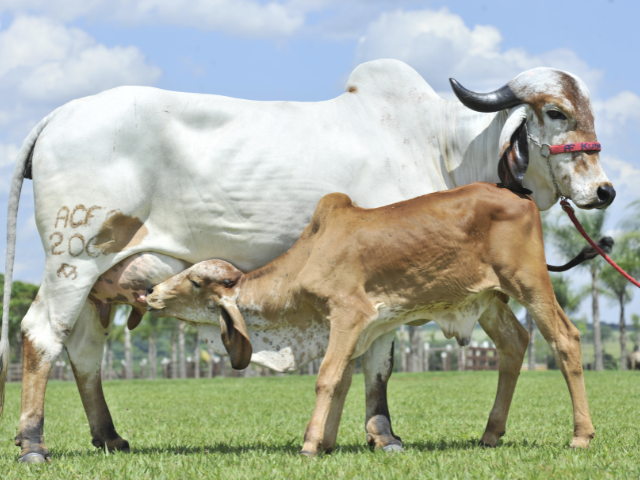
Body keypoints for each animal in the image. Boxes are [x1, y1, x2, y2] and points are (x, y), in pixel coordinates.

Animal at [1, 60, 616, 462]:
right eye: (557, 112)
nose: (605, 192)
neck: (442, 146)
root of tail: (57, 117)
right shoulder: (380, 292)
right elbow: (377, 361)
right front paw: (383, 435)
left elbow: (369, 363)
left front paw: (372, 434)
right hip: (74, 260)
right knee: (41, 335)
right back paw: (32, 443)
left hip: (99, 281)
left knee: (84, 352)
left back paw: (108, 438)